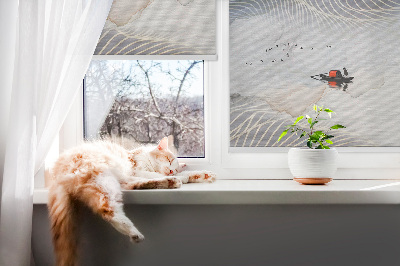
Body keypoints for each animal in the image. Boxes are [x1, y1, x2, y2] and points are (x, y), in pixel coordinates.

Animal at [48, 137, 216, 266]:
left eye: (174, 166)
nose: (171, 171)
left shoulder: (134, 174)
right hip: (103, 178)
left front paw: (203, 175)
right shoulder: (136, 170)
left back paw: (170, 182)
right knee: (107, 209)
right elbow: (153, 174)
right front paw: (183, 176)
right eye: (169, 160)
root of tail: (56, 172)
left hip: (114, 182)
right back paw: (134, 232)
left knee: (134, 186)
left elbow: (184, 174)